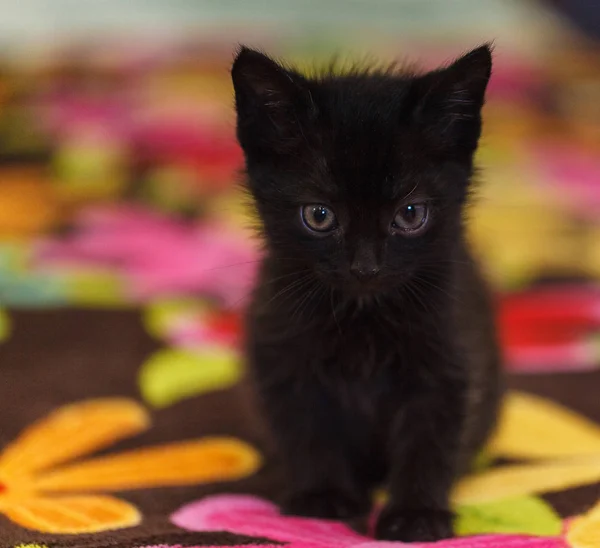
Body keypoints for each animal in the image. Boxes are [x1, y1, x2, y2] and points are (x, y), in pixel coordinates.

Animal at [232, 45, 504, 540]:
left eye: (410, 214)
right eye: (319, 215)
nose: (365, 267)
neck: (363, 316)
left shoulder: (448, 360)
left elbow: (430, 440)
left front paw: (416, 514)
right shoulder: (282, 355)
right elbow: (308, 429)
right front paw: (323, 498)